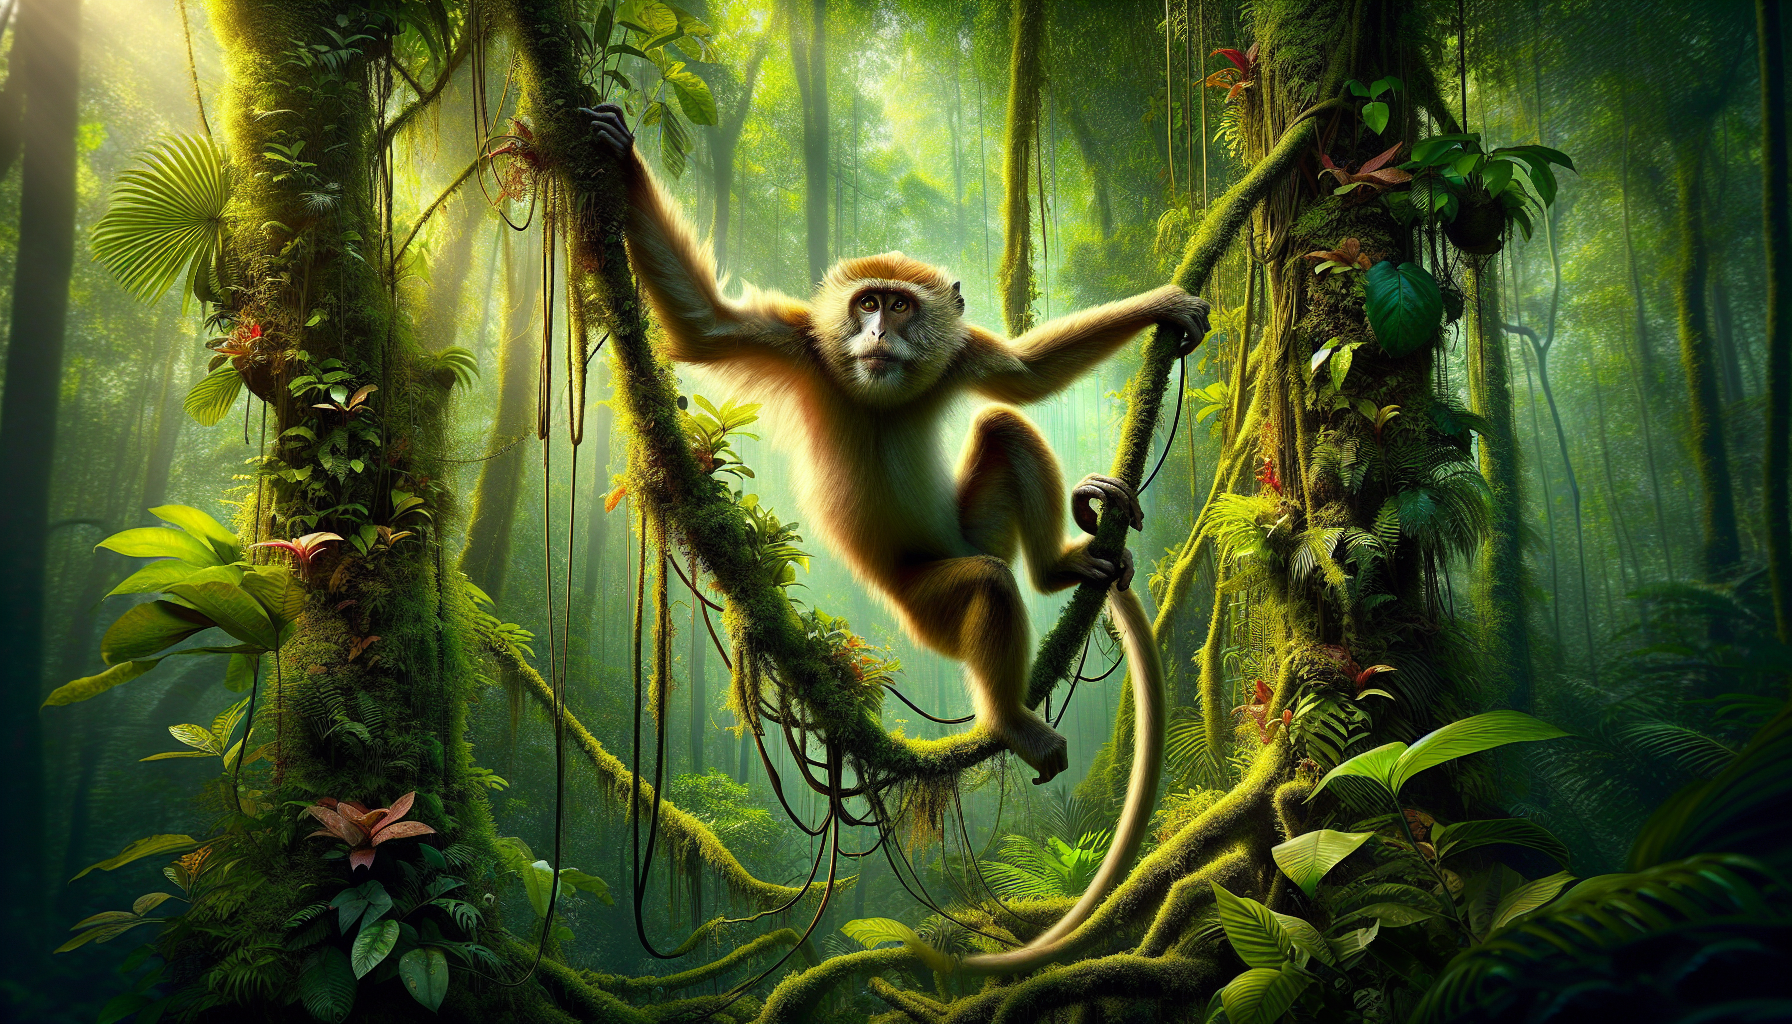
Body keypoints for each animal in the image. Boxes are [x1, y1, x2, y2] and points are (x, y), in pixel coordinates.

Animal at [588, 104, 1208, 971]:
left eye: (903, 308)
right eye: (865, 305)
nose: (879, 330)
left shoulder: (956, 353)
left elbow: (1023, 375)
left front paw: (1161, 307)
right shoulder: (804, 344)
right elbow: (706, 329)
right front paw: (620, 159)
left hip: (966, 531)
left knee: (1005, 433)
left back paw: (1056, 571)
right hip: (922, 602)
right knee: (984, 585)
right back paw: (1009, 718)